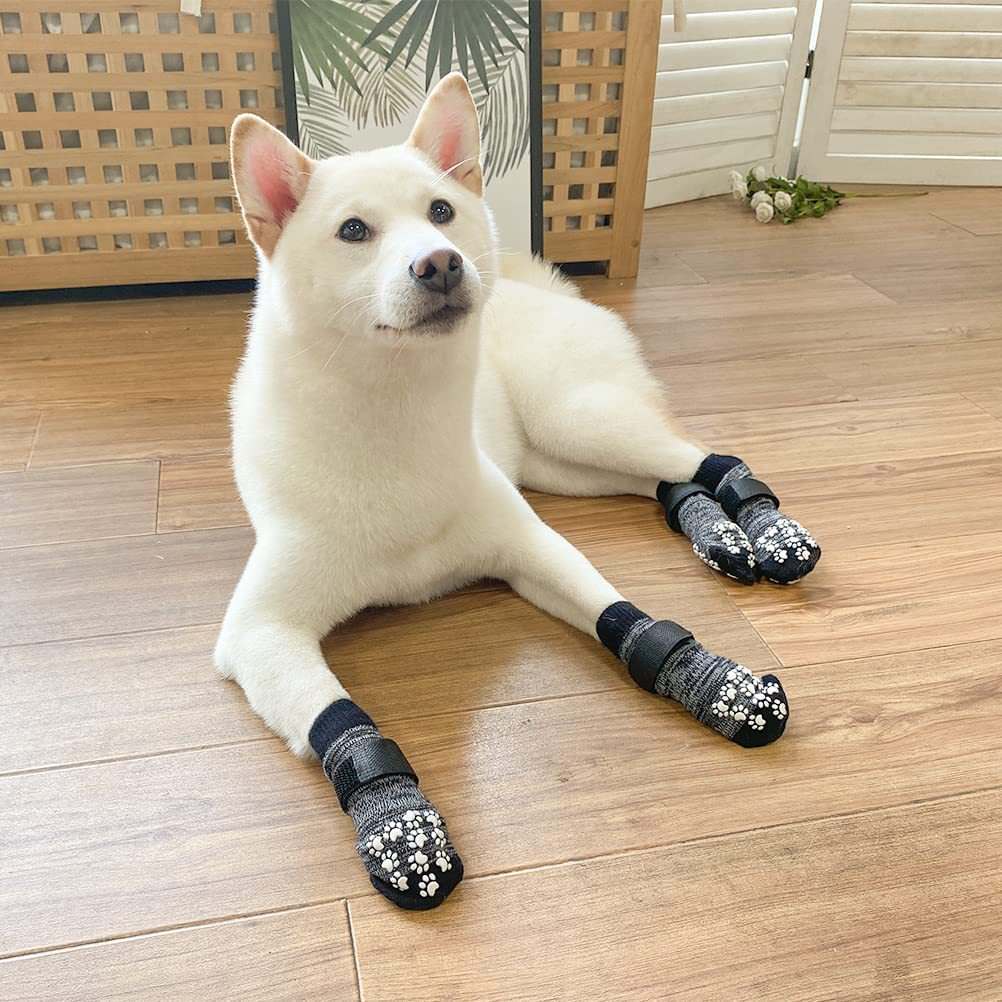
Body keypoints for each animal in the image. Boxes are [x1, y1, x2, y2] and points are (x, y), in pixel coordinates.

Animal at [217, 74, 813, 913]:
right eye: (354, 230)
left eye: (439, 211)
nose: (440, 263)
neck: (394, 424)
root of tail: (539, 287)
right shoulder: (260, 632)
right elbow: (342, 718)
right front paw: (401, 826)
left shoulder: (534, 545)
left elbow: (624, 616)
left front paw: (708, 678)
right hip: (562, 463)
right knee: (669, 480)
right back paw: (719, 534)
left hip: (580, 422)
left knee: (707, 457)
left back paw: (764, 528)